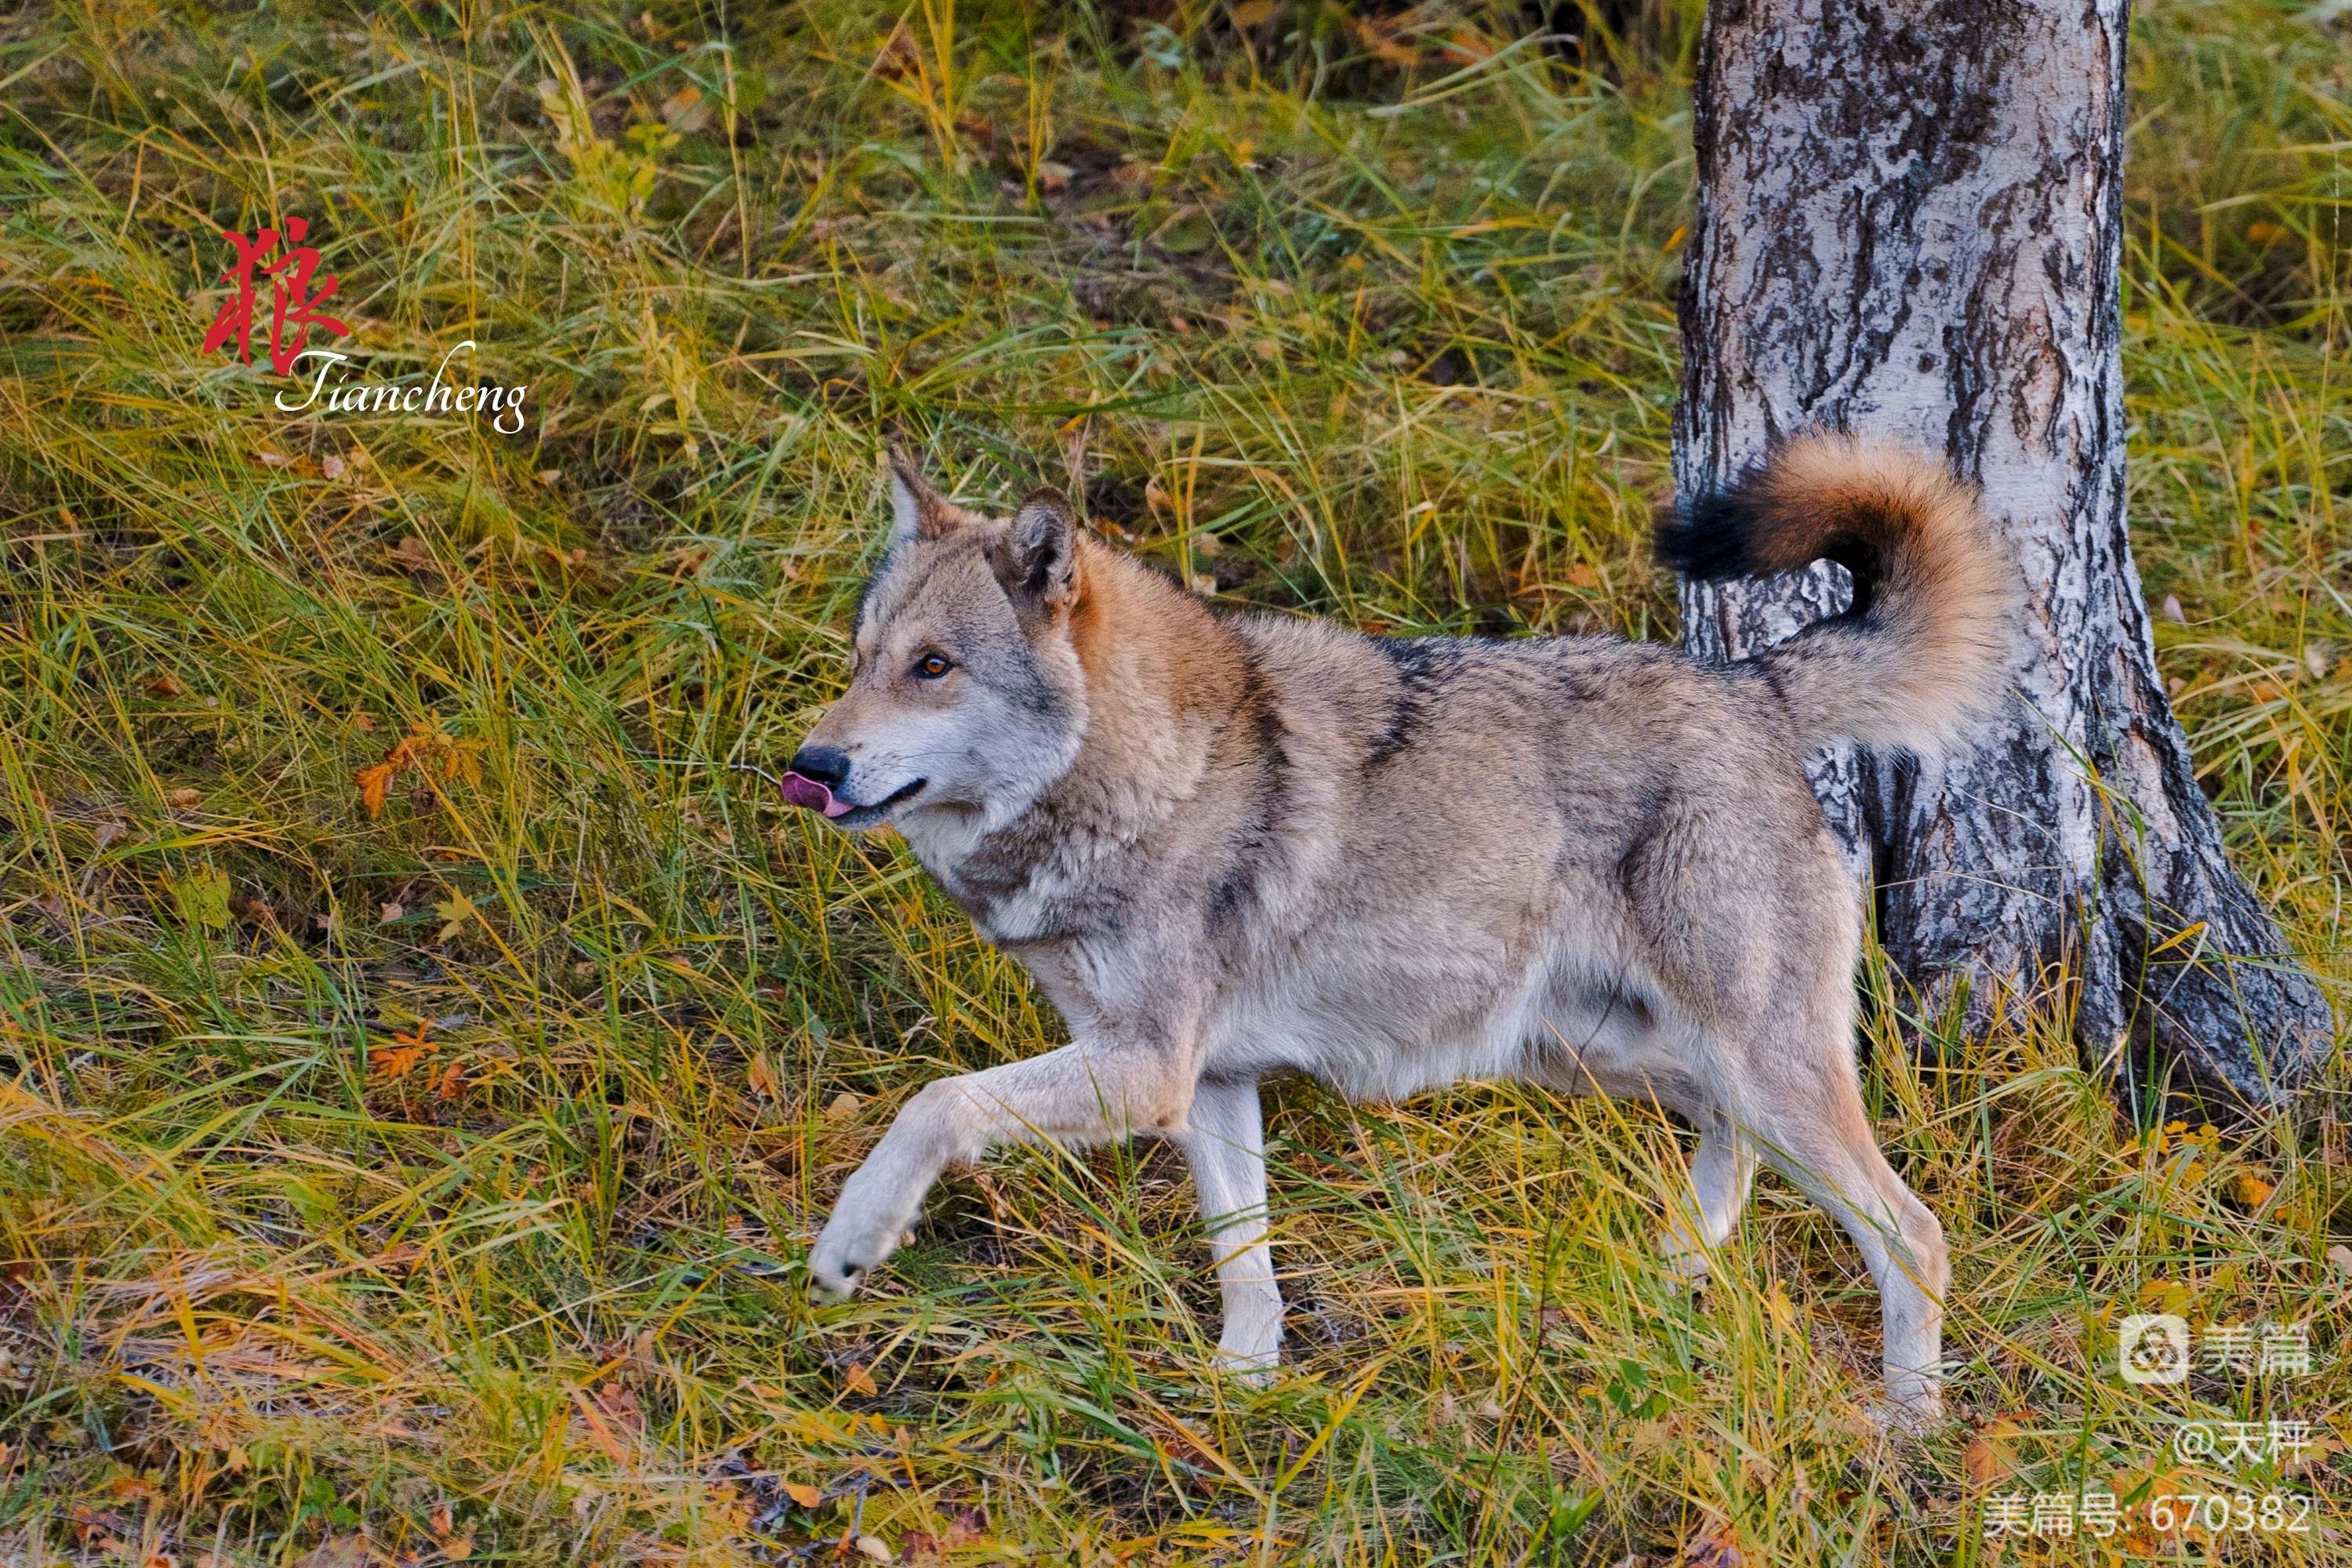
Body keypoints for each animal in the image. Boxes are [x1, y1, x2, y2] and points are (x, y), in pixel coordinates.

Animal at [781, 439, 2013, 1420]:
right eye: (861, 662)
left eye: (933, 667)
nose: (812, 764)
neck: (1152, 776)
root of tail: (1753, 686)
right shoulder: (1208, 1083)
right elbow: (1245, 1260)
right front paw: (1243, 1390)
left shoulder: (1147, 1069)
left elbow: (934, 1102)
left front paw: (850, 1242)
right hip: (1611, 1057)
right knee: (1734, 1152)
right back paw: (1669, 1282)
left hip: (1747, 1063)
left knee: (1916, 1232)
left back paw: (1907, 1430)